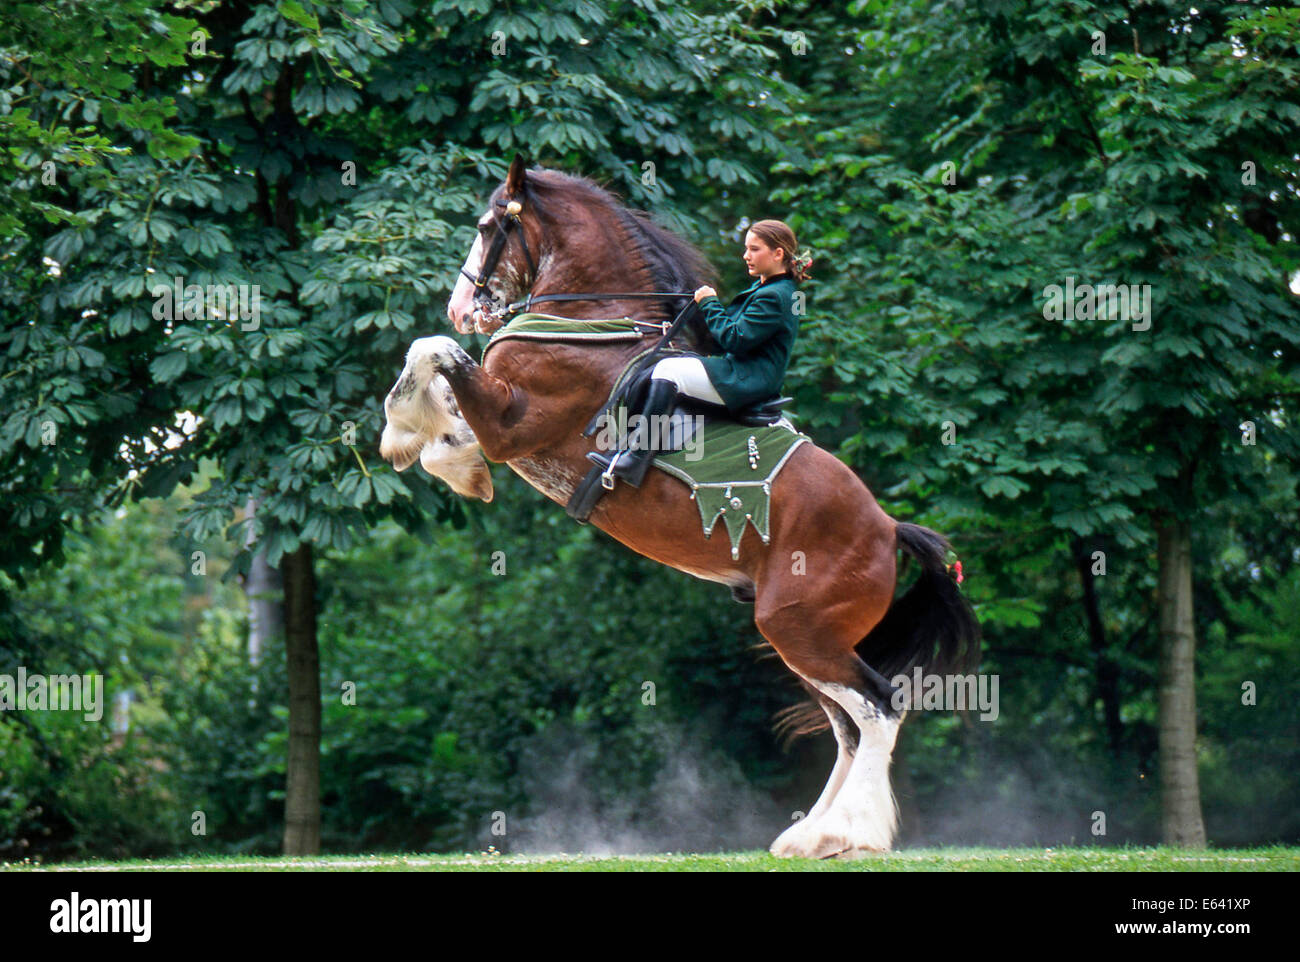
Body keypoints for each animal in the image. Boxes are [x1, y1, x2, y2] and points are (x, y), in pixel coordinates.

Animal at [379, 156, 977, 857]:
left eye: (485, 226)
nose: (461, 306)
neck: (595, 324)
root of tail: (887, 529)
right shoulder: (502, 424)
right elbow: (444, 401)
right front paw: (445, 456)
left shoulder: (513, 423)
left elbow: (431, 350)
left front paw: (403, 434)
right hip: (807, 640)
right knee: (848, 724)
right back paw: (811, 834)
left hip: (801, 630)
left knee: (880, 708)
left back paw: (848, 833)